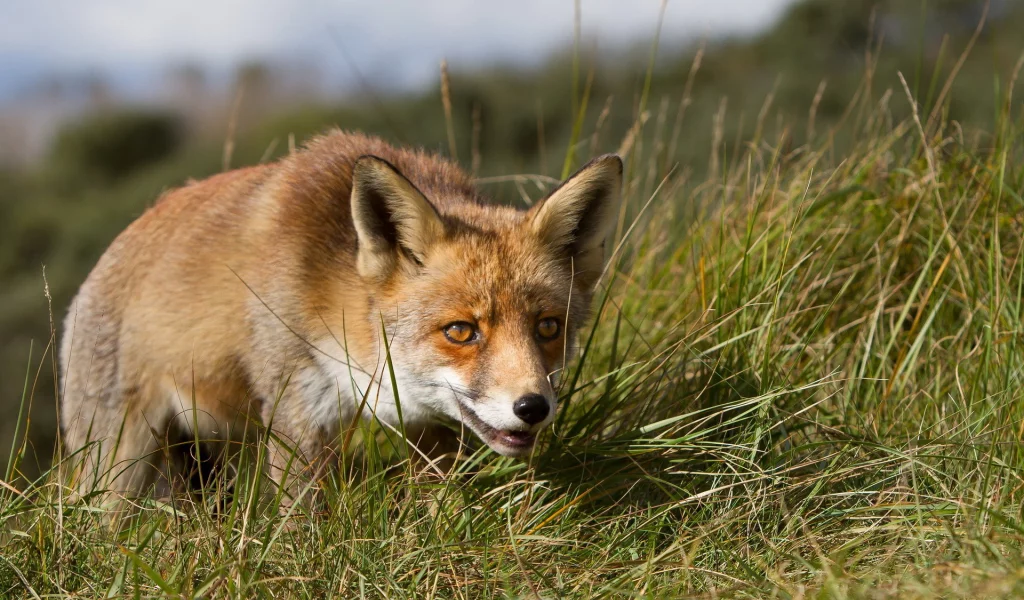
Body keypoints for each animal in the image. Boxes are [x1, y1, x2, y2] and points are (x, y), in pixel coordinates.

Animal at [61, 129, 622, 499]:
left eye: (547, 327)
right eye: (461, 331)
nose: (533, 407)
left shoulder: (427, 427)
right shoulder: (295, 409)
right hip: (120, 463)